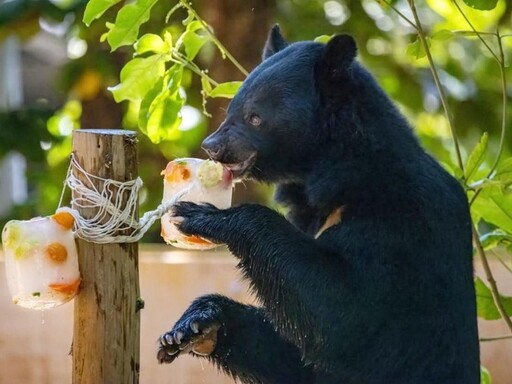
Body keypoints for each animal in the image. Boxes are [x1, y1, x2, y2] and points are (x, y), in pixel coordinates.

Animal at [157, 25, 480, 382]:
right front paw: (194, 325)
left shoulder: (398, 222)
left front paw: (200, 215)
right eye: (232, 109)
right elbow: (295, 356)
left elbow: (345, 316)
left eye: (255, 117)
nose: (212, 146)